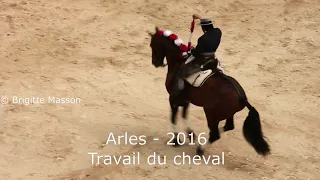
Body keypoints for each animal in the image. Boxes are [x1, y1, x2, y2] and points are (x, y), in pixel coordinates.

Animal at [148, 26, 270, 156]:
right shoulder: (186, 100)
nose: (156, 63)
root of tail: (242, 98)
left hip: (211, 114)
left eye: (152, 44)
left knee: (215, 134)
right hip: (227, 114)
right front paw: (190, 135)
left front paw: (176, 140)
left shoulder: (173, 98)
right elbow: (184, 116)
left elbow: (174, 117)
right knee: (227, 127)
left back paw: (200, 150)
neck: (178, 61)